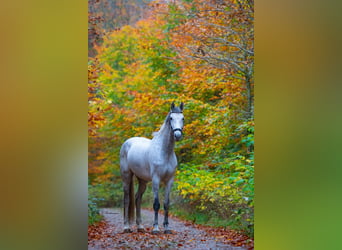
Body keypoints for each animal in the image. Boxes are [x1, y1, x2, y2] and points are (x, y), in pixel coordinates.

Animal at [120, 101, 184, 234]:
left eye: (182, 118)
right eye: (171, 118)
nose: (177, 135)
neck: (165, 152)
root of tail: (127, 142)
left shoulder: (169, 181)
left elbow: (166, 204)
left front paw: (167, 228)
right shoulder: (156, 180)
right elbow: (156, 204)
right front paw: (155, 228)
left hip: (143, 180)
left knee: (137, 199)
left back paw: (140, 227)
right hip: (126, 176)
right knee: (127, 199)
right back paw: (126, 227)